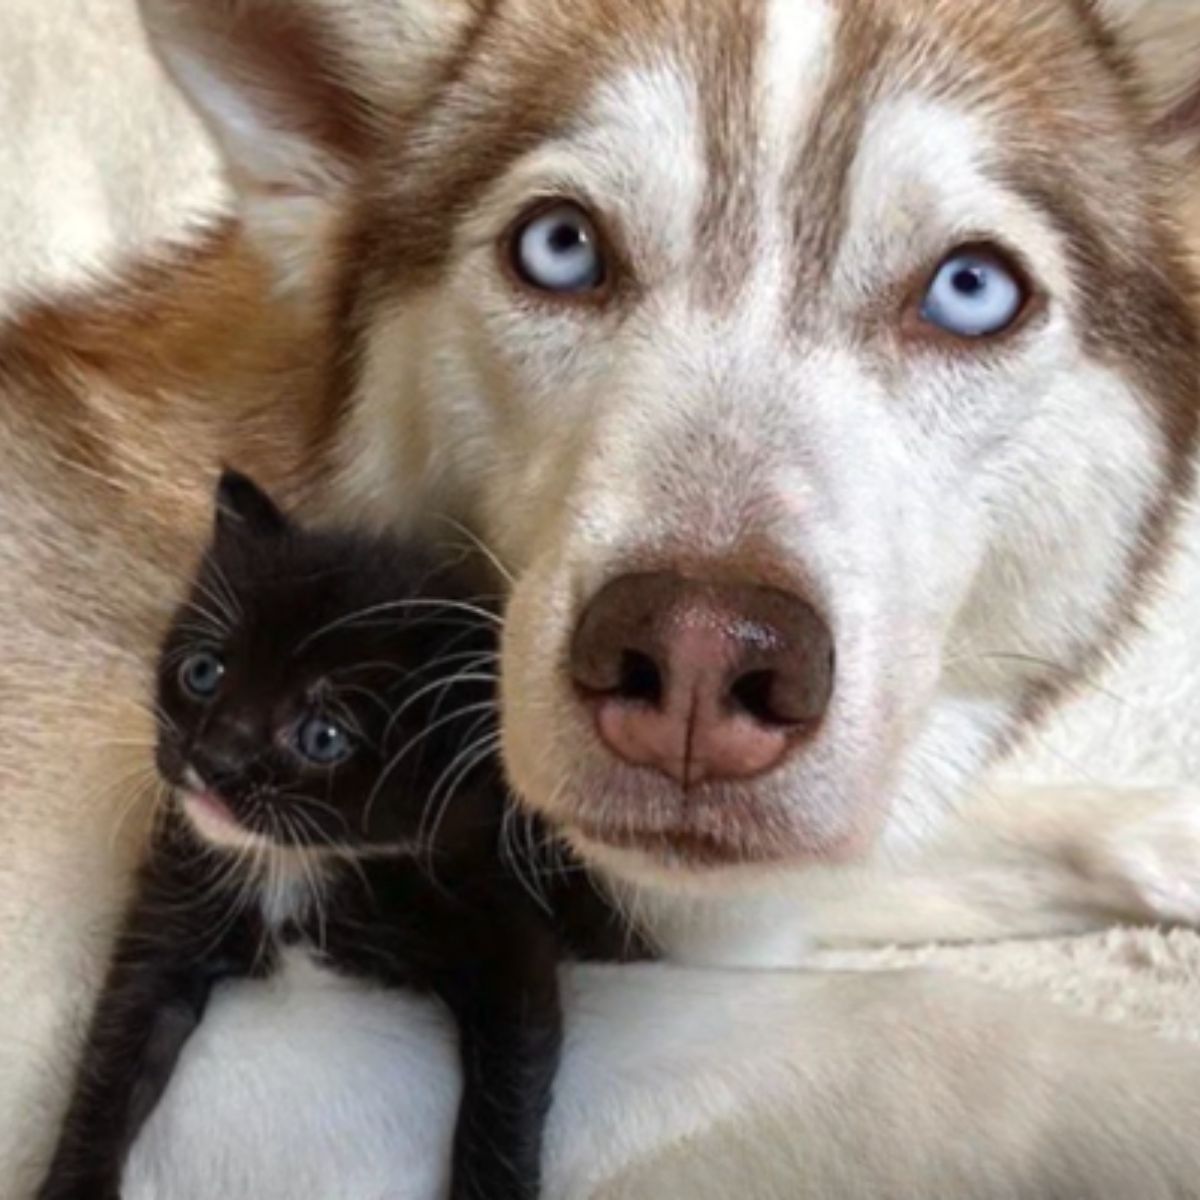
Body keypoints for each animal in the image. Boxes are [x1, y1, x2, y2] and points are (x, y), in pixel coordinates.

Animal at [39, 468, 638, 1200]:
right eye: (204, 672)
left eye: (323, 736)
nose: (214, 758)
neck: (297, 866)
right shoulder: (174, 899)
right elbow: (112, 1063)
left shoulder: (499, 924)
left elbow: (507, 1086)